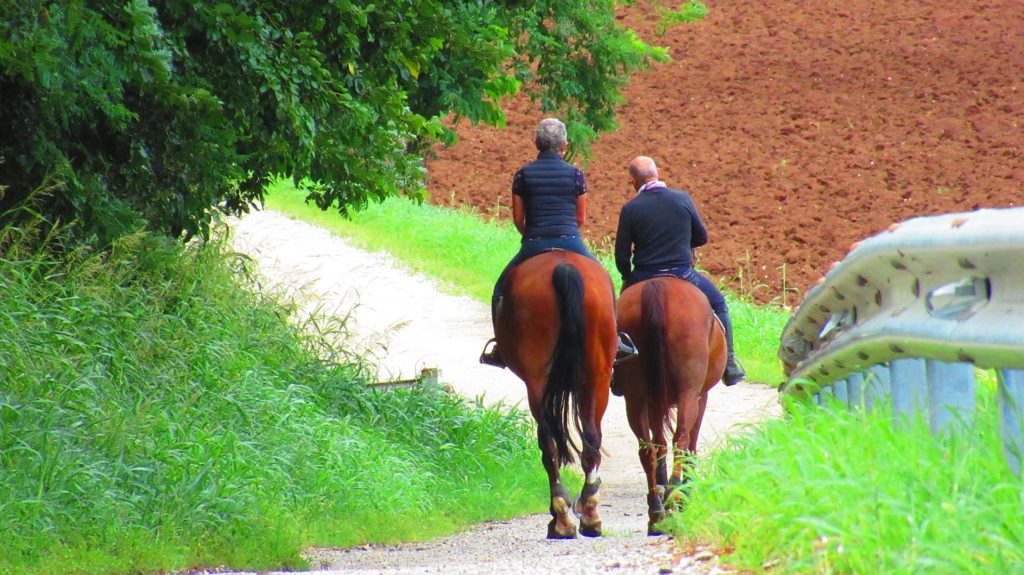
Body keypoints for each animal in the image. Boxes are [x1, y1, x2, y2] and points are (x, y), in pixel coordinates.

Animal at [493, 250, 614, 536]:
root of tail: (564, 267)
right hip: (598, 376)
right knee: (591, 440)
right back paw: (589, 514)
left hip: (538, 381)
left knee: (548, 444)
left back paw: (561, 518)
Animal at [610, 276, 724, 536]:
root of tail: (657, 288)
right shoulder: (701, 396)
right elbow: (690, 442)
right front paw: (686, 487)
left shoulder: (653, 401)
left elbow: (659, 442)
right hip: (688, 392)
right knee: (680, 439)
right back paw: (675, 496)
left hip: (636, 396)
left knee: (647, 448)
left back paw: (656, 511)